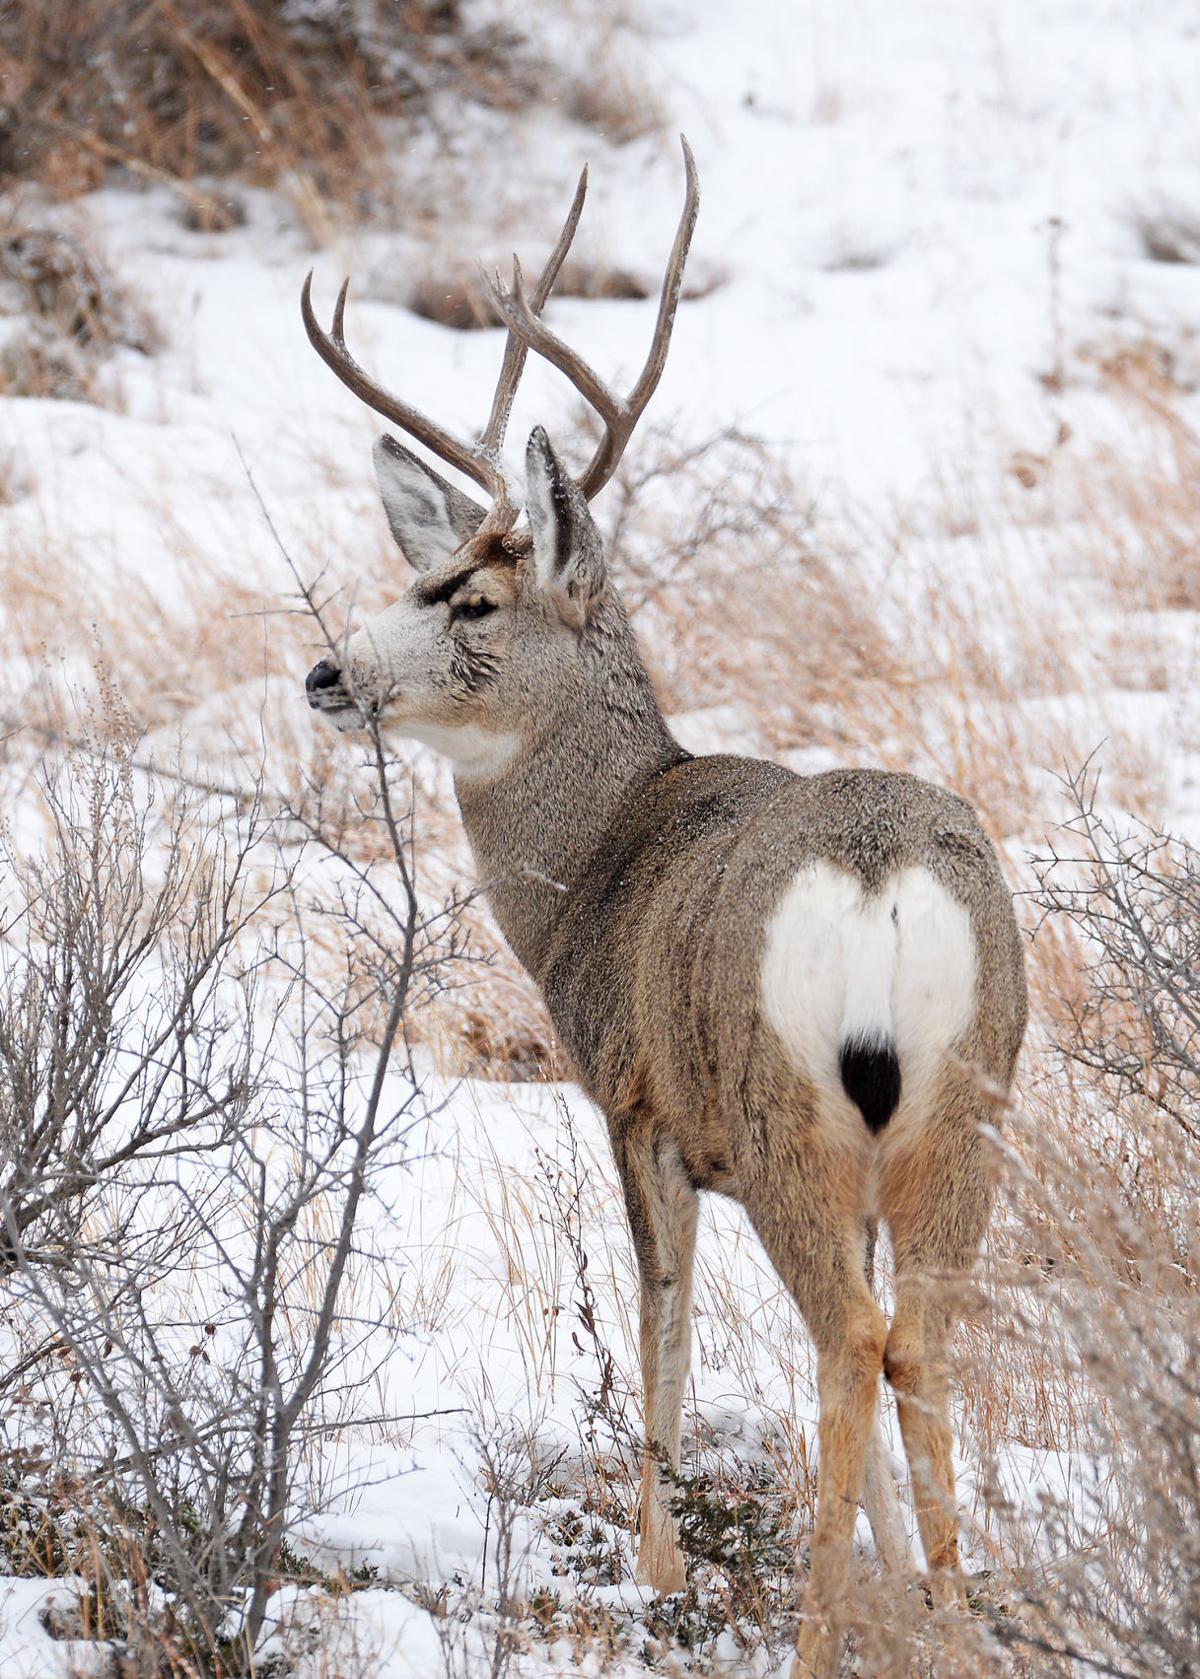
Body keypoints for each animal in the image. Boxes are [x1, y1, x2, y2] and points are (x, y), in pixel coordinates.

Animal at [305, 137, 1027, 1672]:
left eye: (468, 601)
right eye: (418, 570)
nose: (327, 673)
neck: (600, 862)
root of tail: (880, 877)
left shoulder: (638, 1105)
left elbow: (662, 1333)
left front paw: (663, 1568)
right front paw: (890, 1572)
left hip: (787, 1115)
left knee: (849, 1337)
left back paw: (813, 1632)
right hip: (962, 1105)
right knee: (914, 1337)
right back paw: (942, 1613)